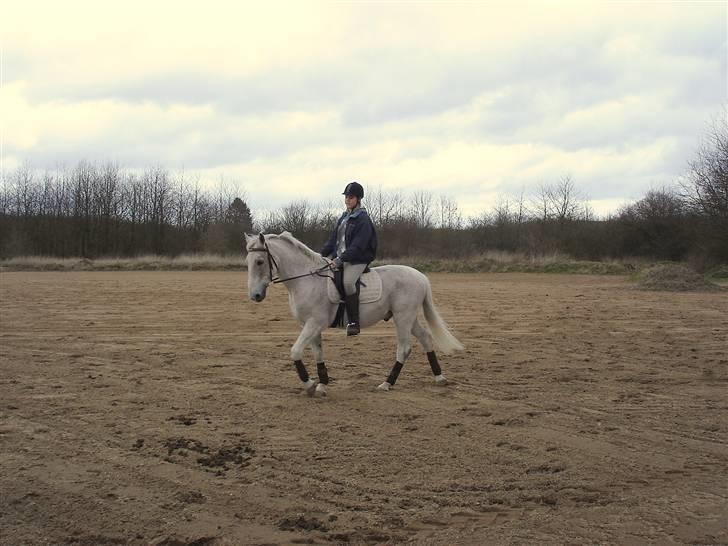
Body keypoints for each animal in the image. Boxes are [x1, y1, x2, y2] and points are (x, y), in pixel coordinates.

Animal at [245, 231, 460, 396]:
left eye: (260, 261)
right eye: (248, 262)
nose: (255, 295)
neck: (307, 279)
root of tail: (421, 276)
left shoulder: (314, 323)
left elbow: (295, 351)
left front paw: (310, 385)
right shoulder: (310, 325)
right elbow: (318, 353)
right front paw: (322, 385)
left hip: (403, 317)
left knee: (404, 348)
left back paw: (387, 383)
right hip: (407, 317)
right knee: (425, 338)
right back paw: (439, 377)